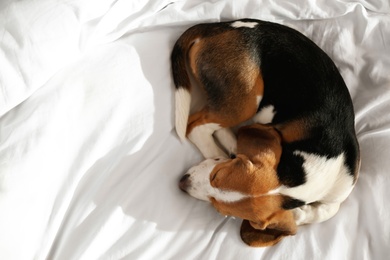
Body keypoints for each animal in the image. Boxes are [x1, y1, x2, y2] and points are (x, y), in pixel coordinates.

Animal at [172, 19, 362, 247]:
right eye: (216, 175)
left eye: (219, 209)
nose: (183, 182)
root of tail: (217, 27)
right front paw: (296, 215)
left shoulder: (343, 186)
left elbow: (328, 210)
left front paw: (300, 214)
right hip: (246, 100)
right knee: (196, 126)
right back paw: (220, 148)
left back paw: (231, 143)